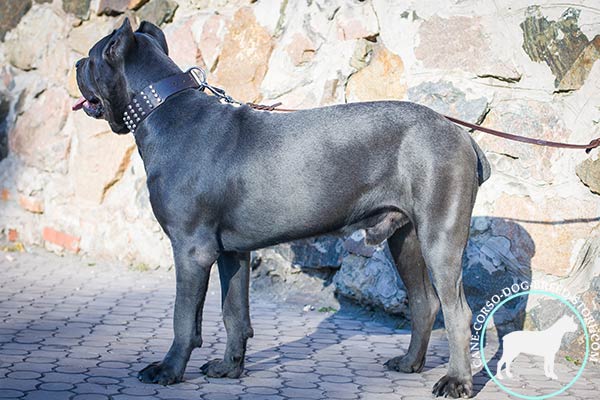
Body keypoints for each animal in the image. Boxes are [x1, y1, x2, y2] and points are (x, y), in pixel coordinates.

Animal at [74, 18, 488, 396]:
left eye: (92, 58)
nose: (76, 63)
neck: (162, 109)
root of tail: (462, 135)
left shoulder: (192, 250)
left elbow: (184, 319)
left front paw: (168, 369)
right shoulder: (232, 253)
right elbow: (233, 313)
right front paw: (229, 368)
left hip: (440, 236)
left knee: (458, 311)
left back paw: (457, 380)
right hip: (406, 239)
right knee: (424, 302)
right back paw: (409, 363)